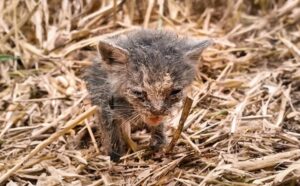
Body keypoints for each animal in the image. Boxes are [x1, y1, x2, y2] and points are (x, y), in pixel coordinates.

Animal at [84, 29, 211, 161]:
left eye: (175, 92)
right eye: (138, 93)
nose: (157, 111)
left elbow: (159, 126)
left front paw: (158, 144)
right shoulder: (103, 105)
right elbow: (110, 131)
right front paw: (115, 156)